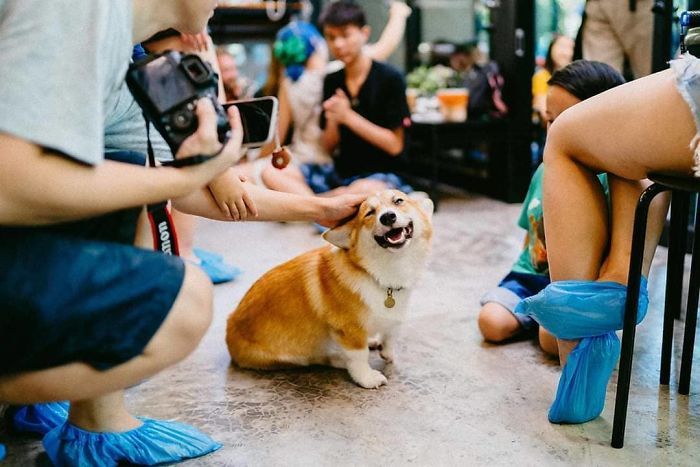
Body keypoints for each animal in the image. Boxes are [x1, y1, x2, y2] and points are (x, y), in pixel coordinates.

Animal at [226, 188, 432, 390]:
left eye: (398, 201)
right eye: (369, 213)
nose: (387, 217)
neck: (382, 272)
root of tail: (229, 330)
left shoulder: (393, 318)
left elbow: (390, 335)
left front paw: (387, 352)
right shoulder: (348, 330)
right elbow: (359, 356)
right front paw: (367, 378)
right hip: (296, 354)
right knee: (320, 358)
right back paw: (340, 359)